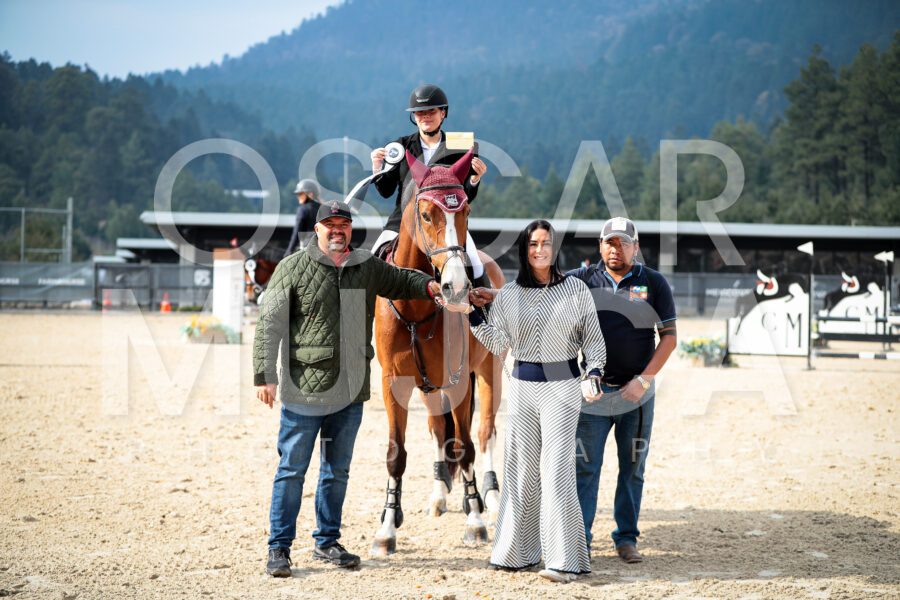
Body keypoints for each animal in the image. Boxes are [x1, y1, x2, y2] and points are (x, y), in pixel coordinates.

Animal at [370, 149, 505, 556]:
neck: (414, 304)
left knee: (484, 432)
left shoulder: (459, 382)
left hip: (488, 373)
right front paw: (387, 528)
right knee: (436, 430)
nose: (457, 287)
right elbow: (396, 454)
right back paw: (439, 496)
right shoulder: (394, 383)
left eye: (465, 211)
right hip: (429, 388)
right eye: (427, 214)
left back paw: (490, 497)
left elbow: (465, 446)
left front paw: (475, 521)